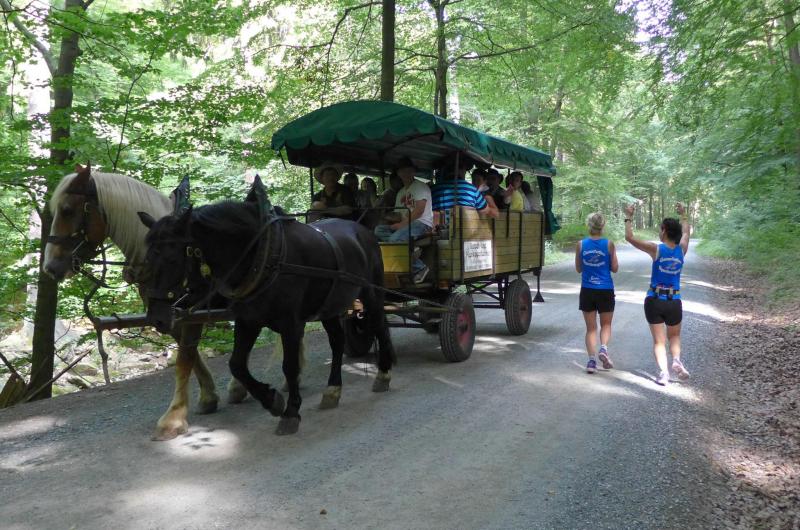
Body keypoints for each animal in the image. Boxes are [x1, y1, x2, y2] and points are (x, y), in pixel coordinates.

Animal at [43, 164, 248, 440]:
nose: (50, 267)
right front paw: (208, 397)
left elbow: (185, 357)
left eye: (67, 210)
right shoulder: (166, 315)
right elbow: (191, 355)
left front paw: (173, 418)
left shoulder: (191, 312)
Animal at [137, 187, 396, 435]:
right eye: (147, 258)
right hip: (330, 306)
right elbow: (237, 364)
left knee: (379, 325)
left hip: (371, 293)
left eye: (172, 258)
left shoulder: (291, 323)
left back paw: (383, 374)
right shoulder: (248, 320)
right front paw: (271, 400)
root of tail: (361, 229)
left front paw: (290, 412)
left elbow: (289, 366)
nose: (157, 318)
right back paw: (332, 391)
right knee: (337, 342)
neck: (263, 255)